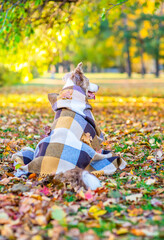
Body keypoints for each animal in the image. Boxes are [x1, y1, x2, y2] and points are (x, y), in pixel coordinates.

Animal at [12, 62, 126, 190]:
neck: (71, 96)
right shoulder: (93, 132)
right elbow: (98, 145)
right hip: (82, 147)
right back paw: (111, 155)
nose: (98, 86)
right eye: (88, 80)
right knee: (97, 156)